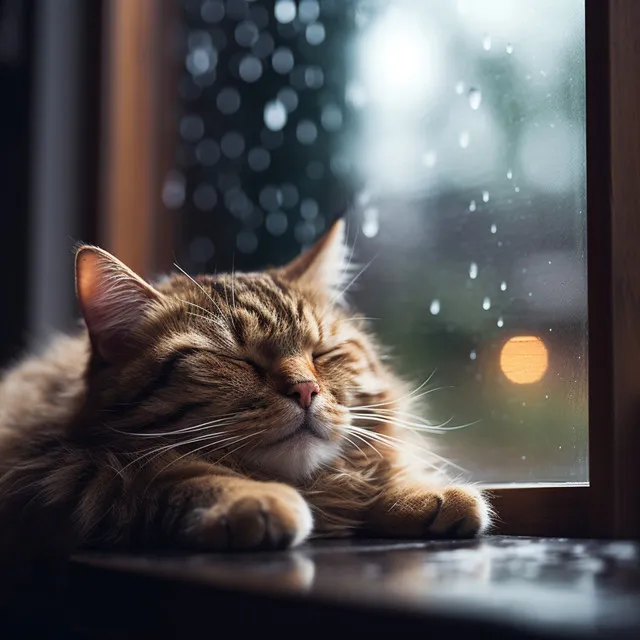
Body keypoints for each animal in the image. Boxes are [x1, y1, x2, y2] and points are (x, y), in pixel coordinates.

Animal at [0, 220, 490, 568]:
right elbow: (171, 474)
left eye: (322, 354)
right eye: (237, 360)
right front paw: (249, 496)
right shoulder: (62, 475)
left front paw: (413, 491)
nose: (306, 389)